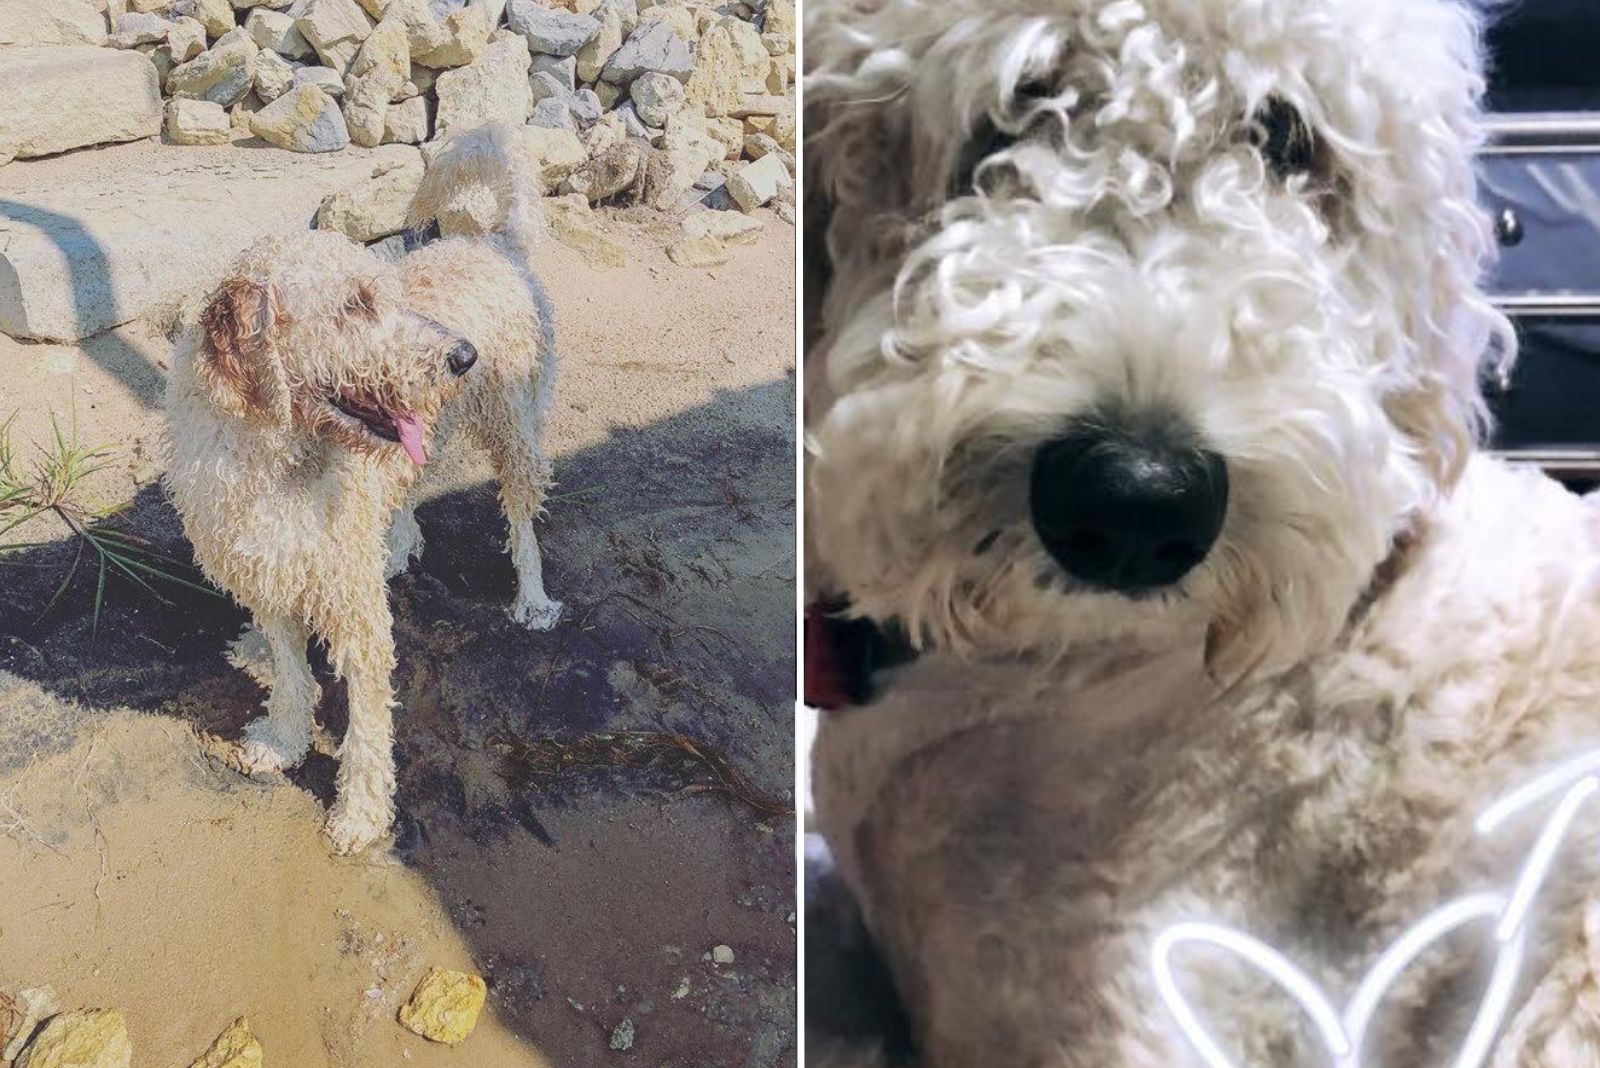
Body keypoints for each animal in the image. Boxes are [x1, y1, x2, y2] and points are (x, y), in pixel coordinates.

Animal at [167, 123, 563, 856]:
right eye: (354, 305)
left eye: (386, 295)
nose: (461, 356)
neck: (274, 457)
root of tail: (492, 241)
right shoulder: (265, 568)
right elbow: (292, 673)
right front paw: (284, 739)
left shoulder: (355, 610)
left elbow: (368, 723)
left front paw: (359, 814)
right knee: (406, 489)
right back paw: (394, 547)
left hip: (511, 425)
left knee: (522, 515)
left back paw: (532, 598)